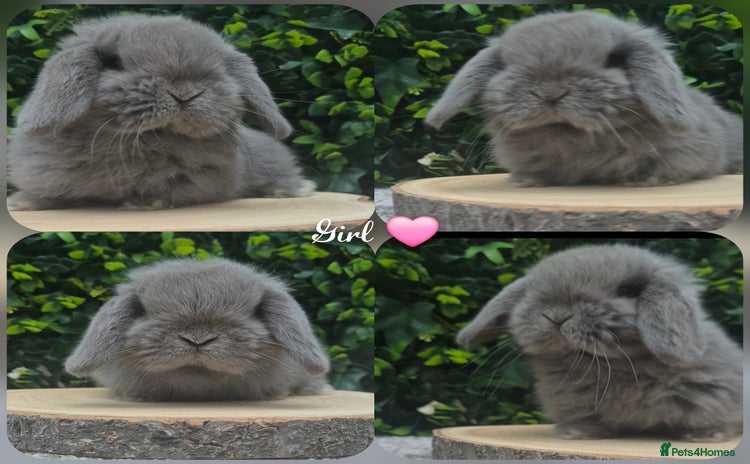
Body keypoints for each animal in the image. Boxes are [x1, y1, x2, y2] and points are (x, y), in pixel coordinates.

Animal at [8, 14, 315, 211]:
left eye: (222, 70)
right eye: (113, 62)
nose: (184, 93)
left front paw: (141, 204)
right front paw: (22, 203)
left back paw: (292, 189)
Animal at [426, 11, 743, 187]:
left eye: (614, 59)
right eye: (505, 65)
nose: (551, 93)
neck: (573, 137)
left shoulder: (689, 151)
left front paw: (646, 181)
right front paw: (526, 182)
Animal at [457, 244, 742, 442]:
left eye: (627, 291)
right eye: (531, 292)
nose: (557, 315)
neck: (610, 365)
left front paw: (706, 436)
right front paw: (575, 434)